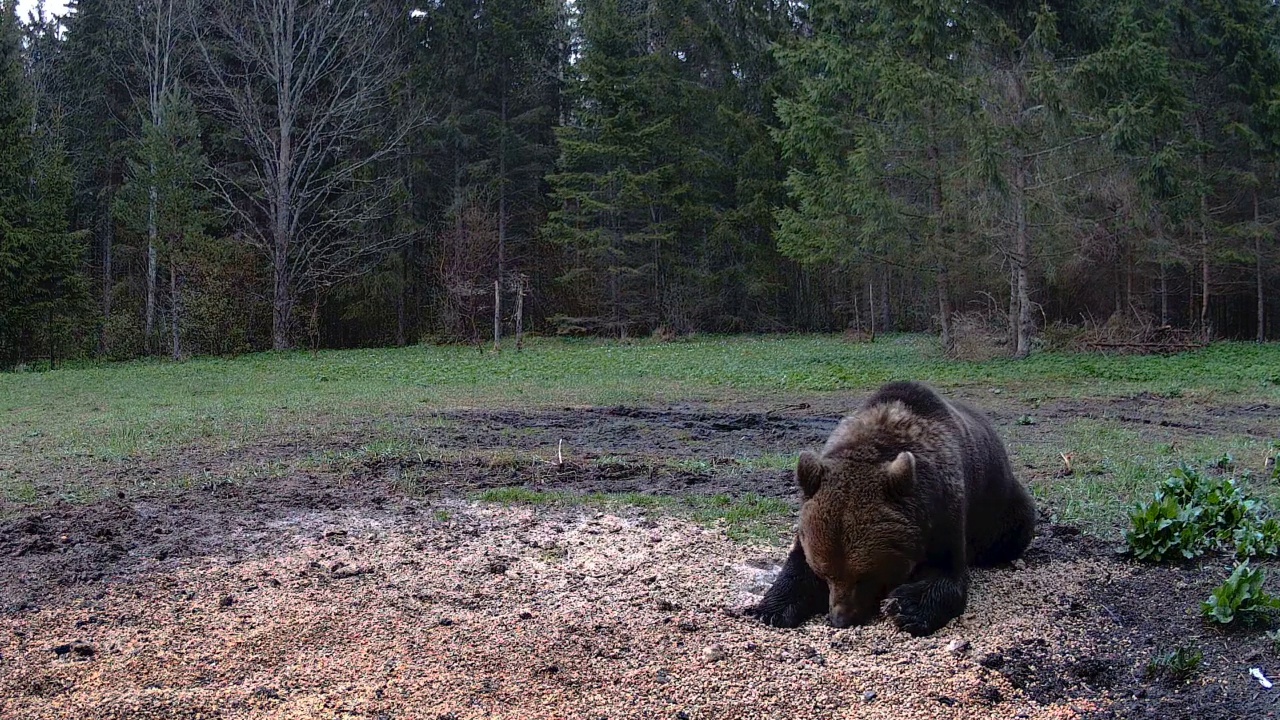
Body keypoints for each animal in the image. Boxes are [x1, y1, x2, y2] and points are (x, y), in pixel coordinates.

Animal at [747, 381, 1029, 632]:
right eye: (825, 573)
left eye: (866, 576)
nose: (840, 618)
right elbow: (796, 565)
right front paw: (772, 609)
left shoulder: (944, 511)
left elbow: (946, 572)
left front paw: (906, 608)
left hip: (1003, 507)